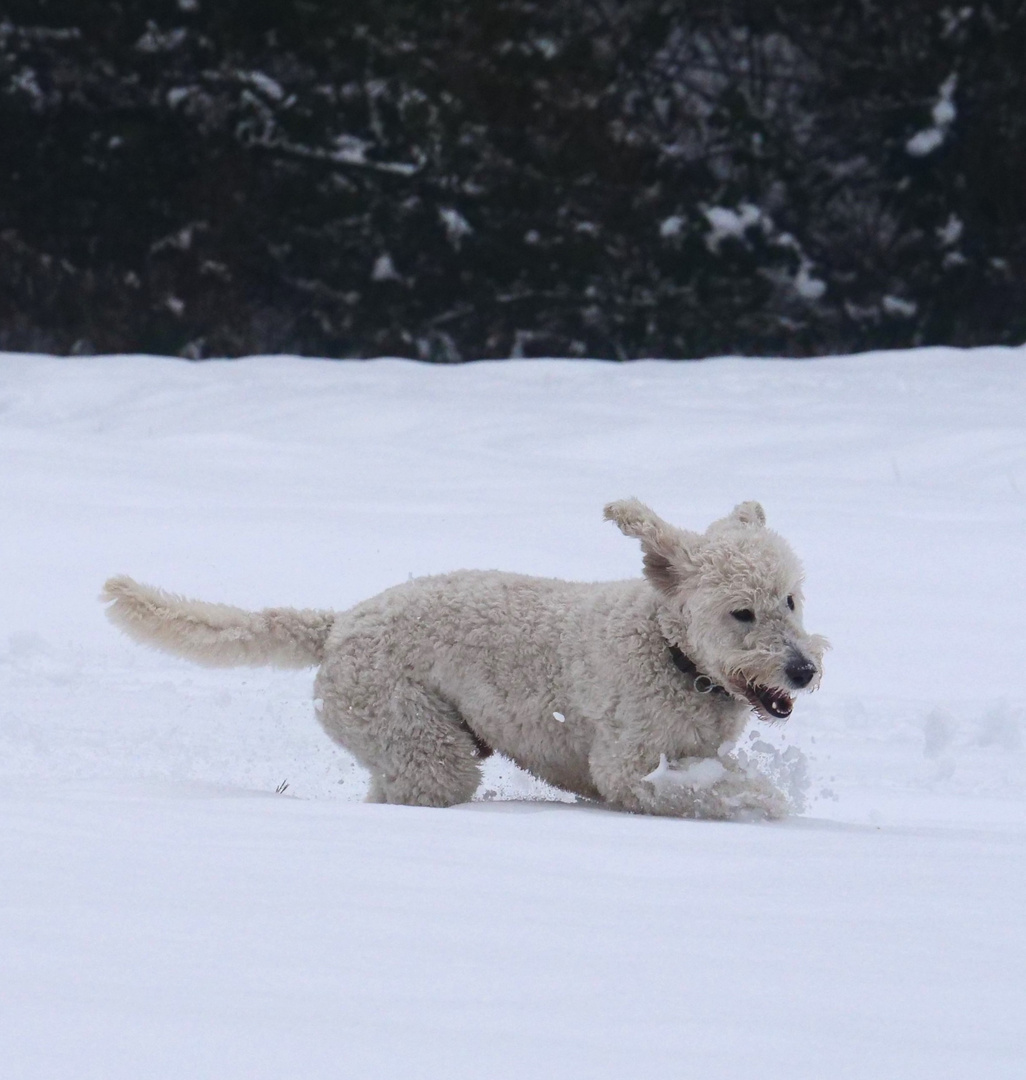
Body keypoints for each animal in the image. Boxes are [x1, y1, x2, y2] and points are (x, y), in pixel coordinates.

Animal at [102, 496, 829, 816]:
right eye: (741, 612)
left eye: (790, 600)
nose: (804, 671)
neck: (670, 651)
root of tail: (339, 624)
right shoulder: (627, 764)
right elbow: (702, 789)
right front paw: (766, 803)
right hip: (414, 733)